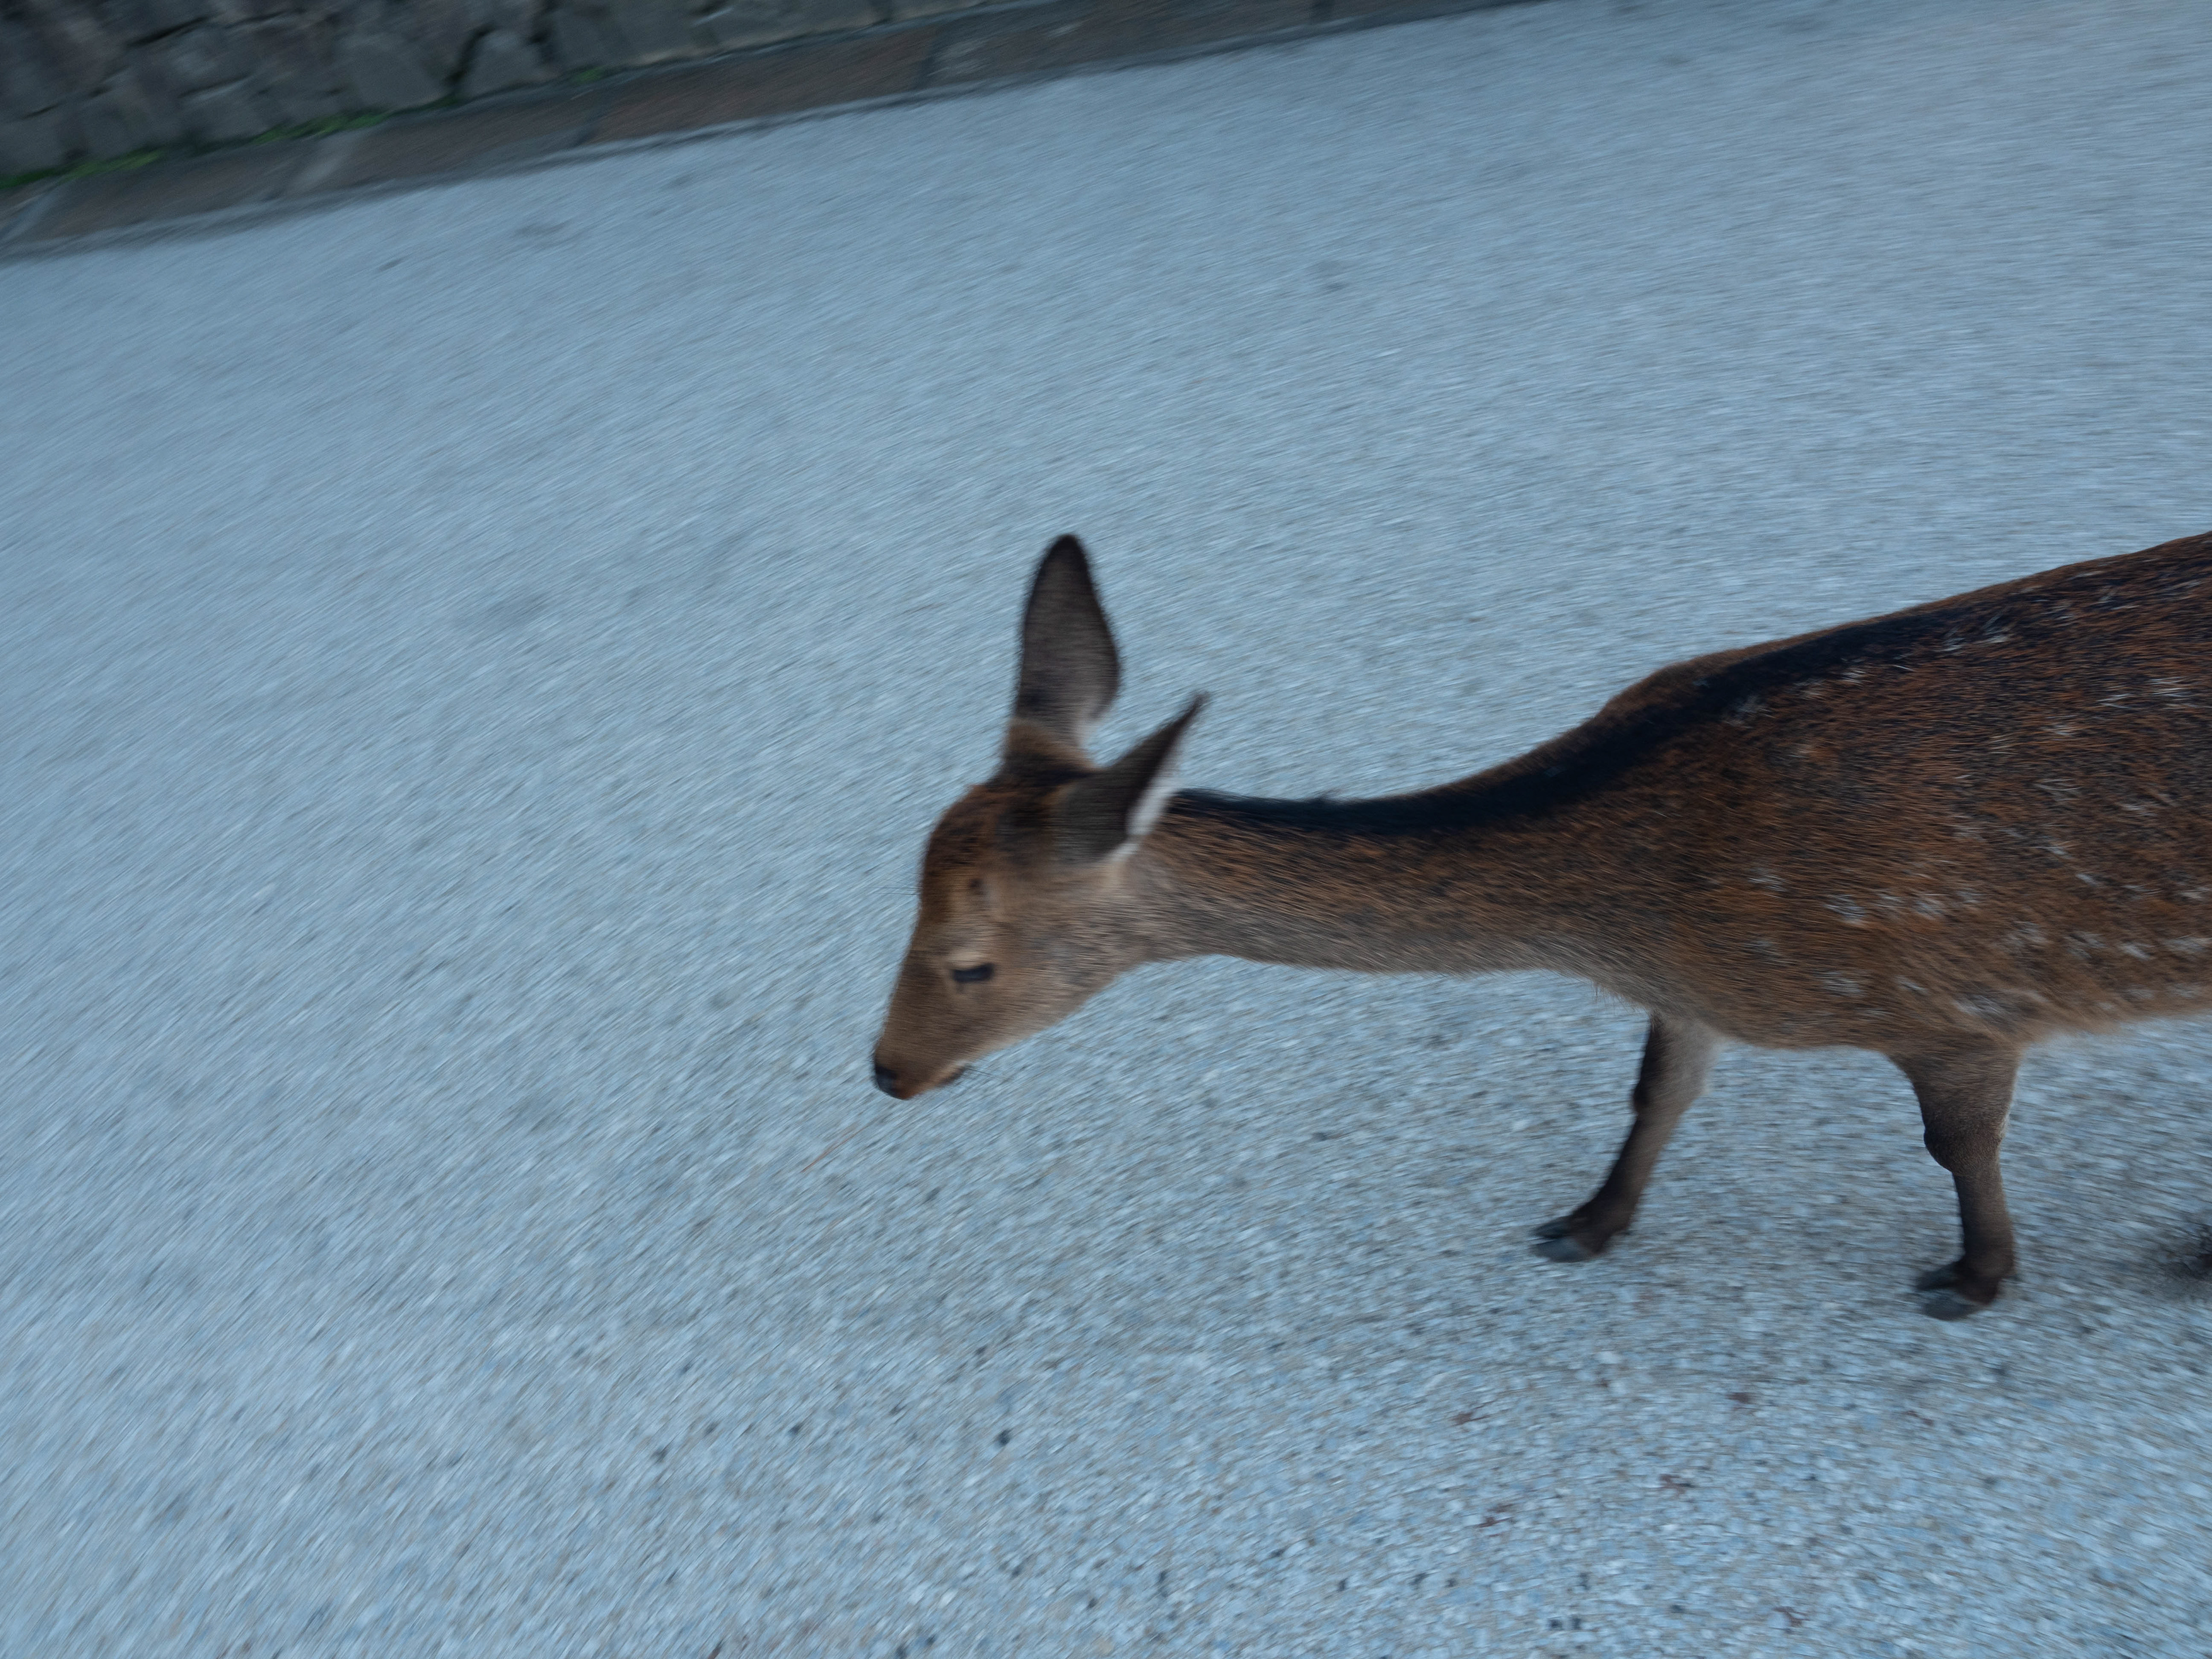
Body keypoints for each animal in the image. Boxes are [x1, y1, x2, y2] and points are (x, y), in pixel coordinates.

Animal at [870, 531, 2212, 1318]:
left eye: (969, 963)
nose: (887, 1071)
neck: (1634, 909)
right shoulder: (1689, 991)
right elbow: (1660, 1091)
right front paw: (1588, 1225)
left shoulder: (1954, 1000)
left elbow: (1958, 1144)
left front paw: (1977, 1277)